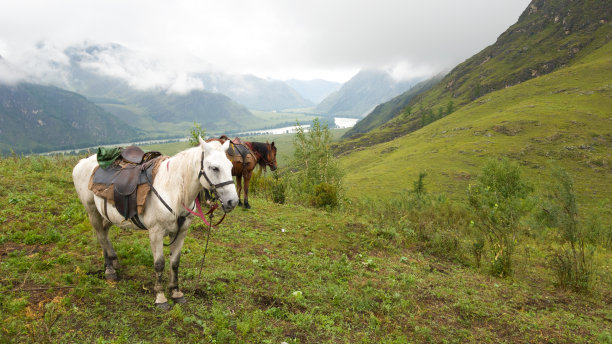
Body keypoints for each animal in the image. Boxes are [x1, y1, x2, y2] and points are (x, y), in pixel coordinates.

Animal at [74, 137, 239, 310]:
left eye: (230, 167)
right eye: (214, 168)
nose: (232, 202)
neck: (173, 191)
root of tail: (82, 162)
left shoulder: (181, 232)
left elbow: (175, 262)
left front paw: (176, 292)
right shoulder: (156, 233)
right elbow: (159, 264)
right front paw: (160, 297)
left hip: (107, 215)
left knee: (105, 234)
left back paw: (114, 261)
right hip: (92, 211)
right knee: (100, 236)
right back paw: (110, 270)